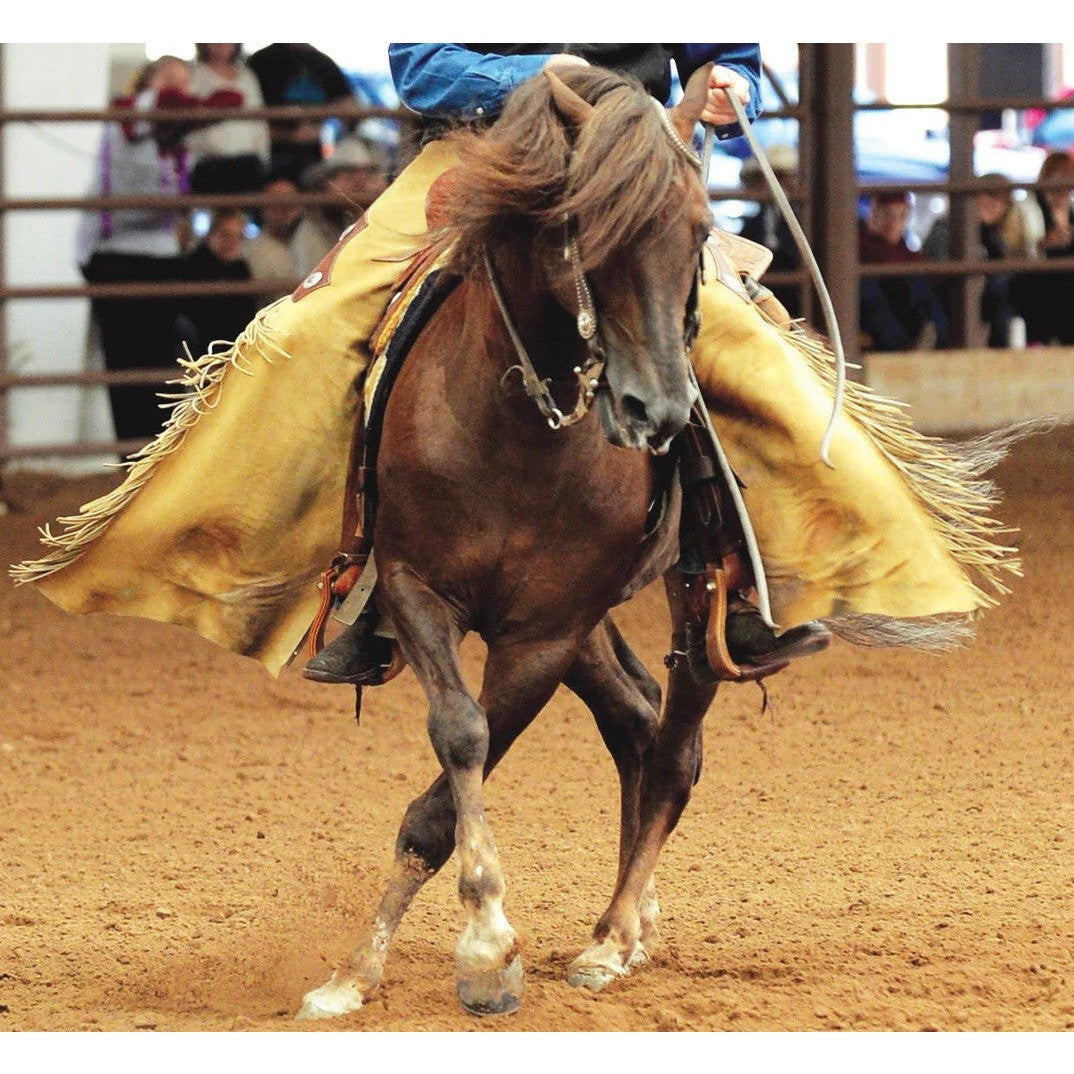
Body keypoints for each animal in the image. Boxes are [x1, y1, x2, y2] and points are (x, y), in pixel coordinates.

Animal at [298, 62, 726, 1018]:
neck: (520, 431)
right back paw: (628, 922)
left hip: (683, 603)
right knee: (636, 718)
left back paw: (612, 937)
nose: (658, 410)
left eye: (700, 230)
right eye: (586, 227)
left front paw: (485, 949)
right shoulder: (417, 589)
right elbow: (460, 736)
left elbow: (463, 770)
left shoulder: (543, 633)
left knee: (673, 748)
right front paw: (359, 971)